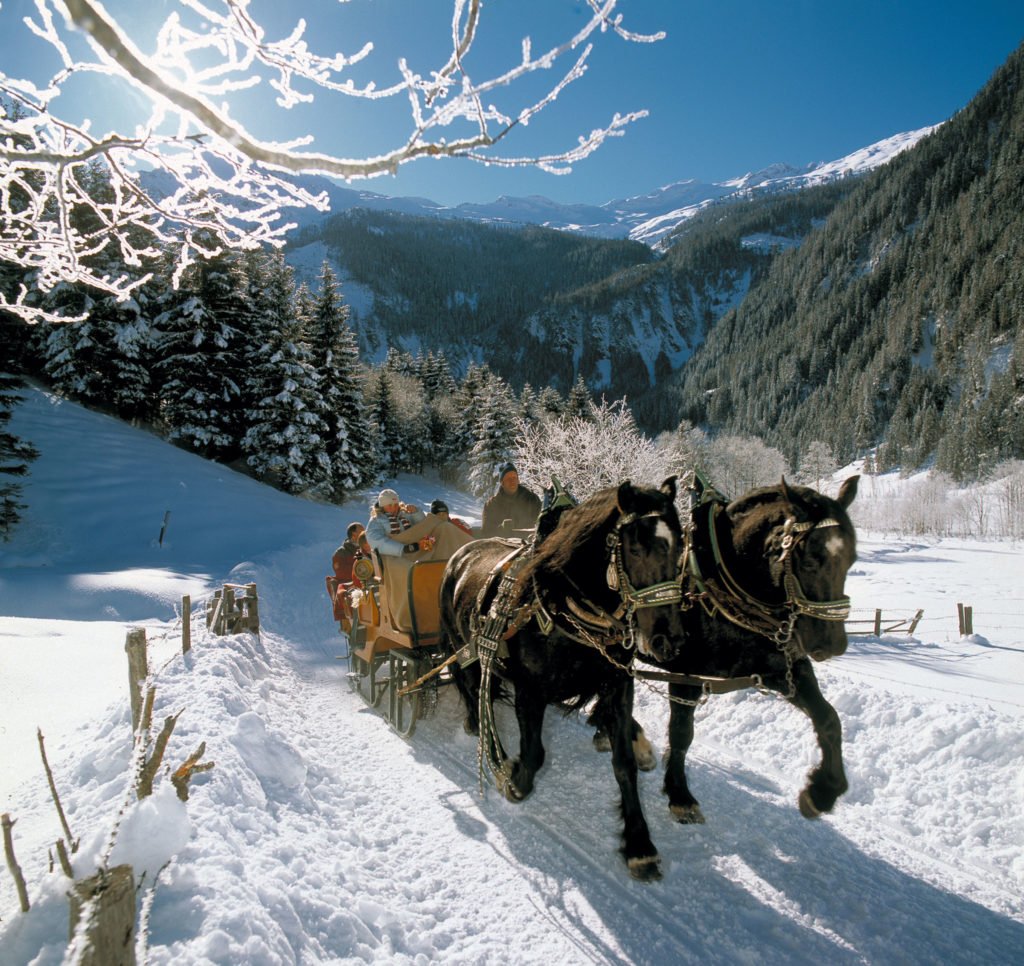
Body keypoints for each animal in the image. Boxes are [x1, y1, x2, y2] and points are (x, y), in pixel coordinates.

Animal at [440, 479, 688, 880]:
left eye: (682, 549)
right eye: (635, 548)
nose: (670, 640)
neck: (565, 607)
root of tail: (460, 552)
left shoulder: (618, 685)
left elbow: (624, 763)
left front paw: (639, 844)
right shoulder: (530, 691)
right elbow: (535, 754)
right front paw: (514, 781)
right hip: (465, 650)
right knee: (477, 696)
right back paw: (494, 753)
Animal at [647, 473, 856, 823]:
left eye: (852, 559)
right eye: (809, 560)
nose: (832, 644)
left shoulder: (784, 669)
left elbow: (828, 719)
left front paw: (823, 791)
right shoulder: (684, 674)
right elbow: (681, 733)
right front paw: (680, 795)